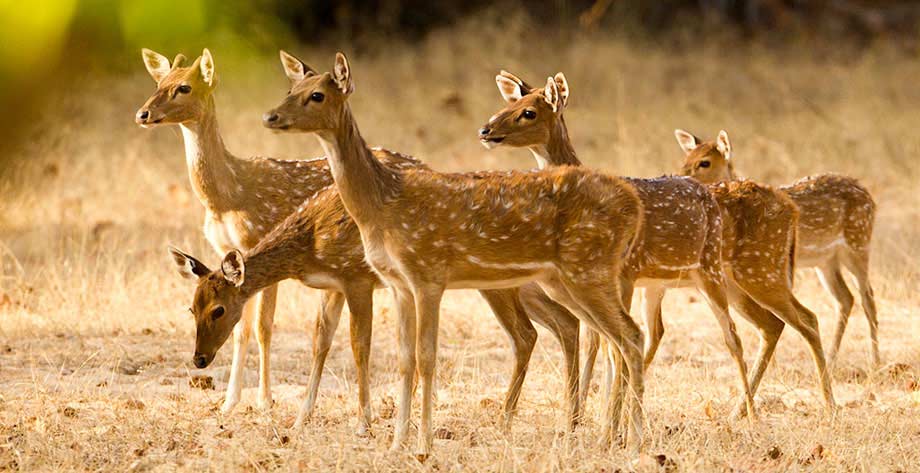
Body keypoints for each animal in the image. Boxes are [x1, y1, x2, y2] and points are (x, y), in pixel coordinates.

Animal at [266, 50, 648, 458]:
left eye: (317, 95)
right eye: (291, 90)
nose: (270, 116)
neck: (382, 204)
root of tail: (634, 207)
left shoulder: (428, 274)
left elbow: (426, 357)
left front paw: (423, 445)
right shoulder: (398, 283)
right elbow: (404, 359)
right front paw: (397, 443)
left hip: (587, 269)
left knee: (630, 336)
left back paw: (634, 439)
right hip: (564, 279)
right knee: (609, 338)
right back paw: (609, 435)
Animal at [478, 71, 760, 432]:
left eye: (529, 112)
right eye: (509, 103)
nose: (486, 131)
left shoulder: (620, 276)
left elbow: (609, 345)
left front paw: (603, 422)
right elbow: (603, 343)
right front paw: (590, 418)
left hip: (706, 272)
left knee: (733, 336)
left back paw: (749, 415)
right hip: (656, 284)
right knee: (653, 333)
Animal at [680, 129, 880, 368]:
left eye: (705, 162)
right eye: (685, 159)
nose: (681, 177)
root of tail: (869, 195)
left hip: (858, 242)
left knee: (867, 297)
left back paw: (875, 361)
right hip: (825, 261)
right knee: (845, 298)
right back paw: (832, 360)